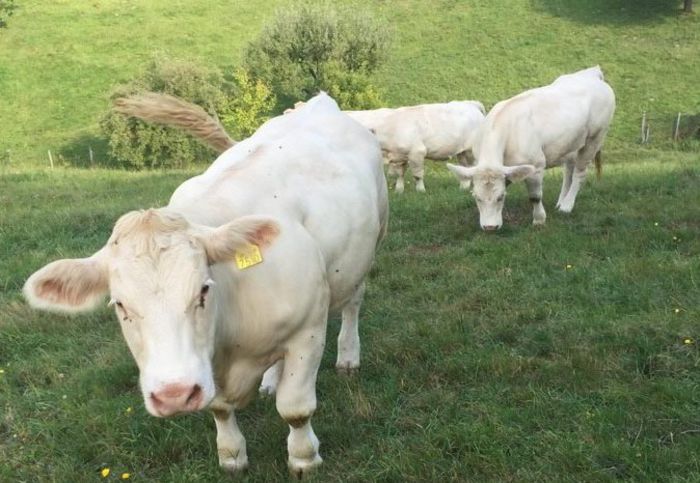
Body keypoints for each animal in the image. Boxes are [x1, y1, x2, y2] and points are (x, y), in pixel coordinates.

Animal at [24, 92, 392, 478]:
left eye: (203, 290)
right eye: (121, 305)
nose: (173, 394)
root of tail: (320, 102)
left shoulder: (307, 331)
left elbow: (295, 409)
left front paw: (304, 458)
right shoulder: (206, 364)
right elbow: (219, 408)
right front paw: (231, 454)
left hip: (370, 244)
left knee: (353, 303)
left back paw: (348, 356)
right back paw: (270, 380)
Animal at [346, 100, 486, 193]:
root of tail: (471, 104)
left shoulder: (417, 152)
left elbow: (417, 175)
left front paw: (421, 190)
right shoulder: (401, 156)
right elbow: (400, 174)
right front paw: (399, 190)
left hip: (472, 150)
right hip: (462, 151)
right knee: (465, 167)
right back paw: (463, 187)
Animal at [446, 67, 616, 232]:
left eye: (501, 197)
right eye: (477, 197)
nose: (489, 227)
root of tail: (592, 72)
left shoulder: (536, 165)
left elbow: (535, 196)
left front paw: (539, 220)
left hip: (595, 136)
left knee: (579, 173)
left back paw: (567, 206)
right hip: (571, 142)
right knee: (568, 170)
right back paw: (561, 202)